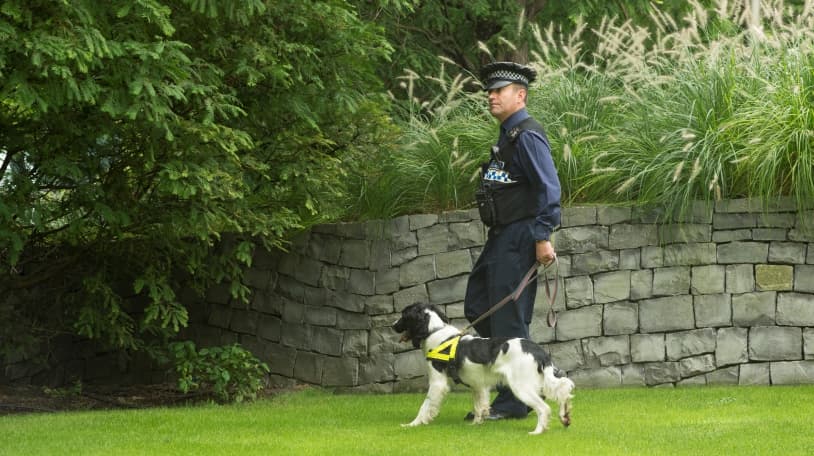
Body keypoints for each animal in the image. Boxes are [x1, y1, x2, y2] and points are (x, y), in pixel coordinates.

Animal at [394, 302, 572, 434]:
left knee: (544, 408)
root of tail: (539, 351)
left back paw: (538, 431)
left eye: (403, 315)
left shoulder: (438, 382)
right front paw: (475, 424)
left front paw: (412, 424)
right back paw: (565, 417)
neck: (434, 331)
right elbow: (479, 406)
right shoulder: (478, 385)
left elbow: (425, 405)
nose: (393, 324)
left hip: (521, 387)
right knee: (562, 391)